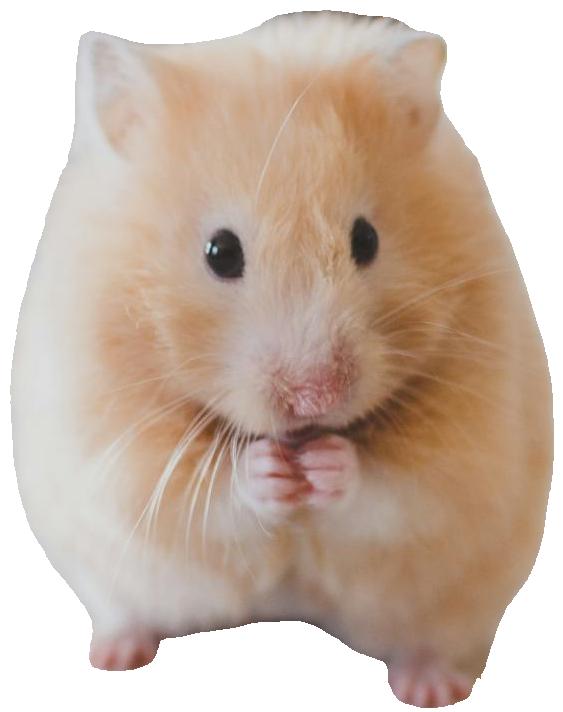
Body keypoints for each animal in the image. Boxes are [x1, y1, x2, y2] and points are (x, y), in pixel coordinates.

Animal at [11, 12, 552, 708]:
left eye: (366, 240)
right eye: (220, 252)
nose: (315, 398)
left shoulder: (468, 446)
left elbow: (400, 489)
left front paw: (326, 466)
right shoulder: (113, 444)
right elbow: (202, 492)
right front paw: (270, 470)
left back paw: (431, 688)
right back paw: (114, 658)